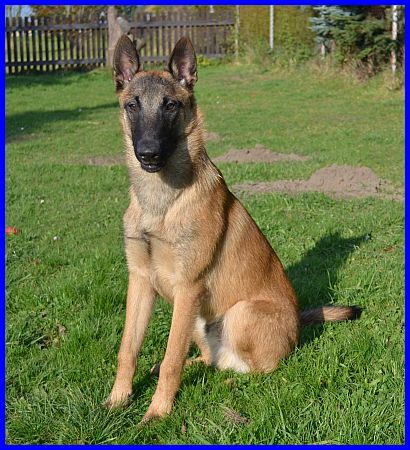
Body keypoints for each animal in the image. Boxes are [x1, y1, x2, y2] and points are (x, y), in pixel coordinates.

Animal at [104, 35, 360, 423]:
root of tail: (299, 323)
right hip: (198, 320)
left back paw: (228, 389)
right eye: (132, 105)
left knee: (257, 369)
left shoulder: (188, 287)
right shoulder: (140, 281)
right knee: (209, 359)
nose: (148, 154)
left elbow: (171, 358)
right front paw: (119, 399)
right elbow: (128, 349)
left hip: (238, 313)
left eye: (170, 106)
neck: (162, 202)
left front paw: (158, 413)